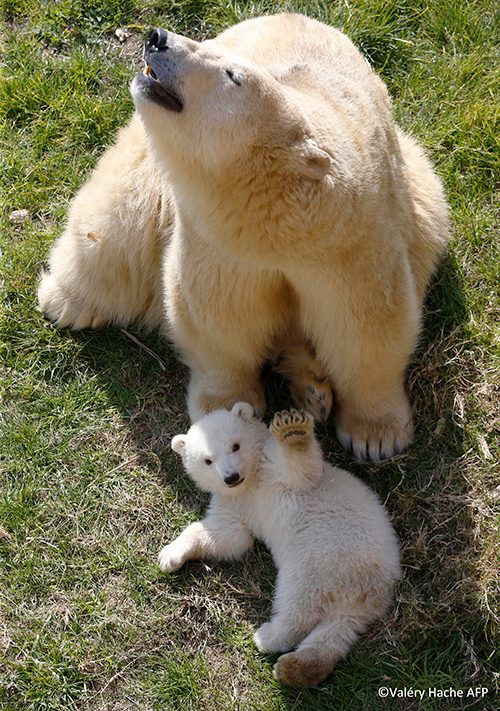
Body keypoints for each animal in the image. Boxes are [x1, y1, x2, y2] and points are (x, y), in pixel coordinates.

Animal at [36, 16, 450, 464]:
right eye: (216, 54)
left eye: (232, 74)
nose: (158, 38)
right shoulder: (219, 247)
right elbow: (220, 318)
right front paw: (225, 411)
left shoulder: (351, 243)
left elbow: (368, 324)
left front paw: (376, 437)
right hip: (148, 171)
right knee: (117, 222)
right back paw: (66, 302)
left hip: (422, 192)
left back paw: (313, 387)